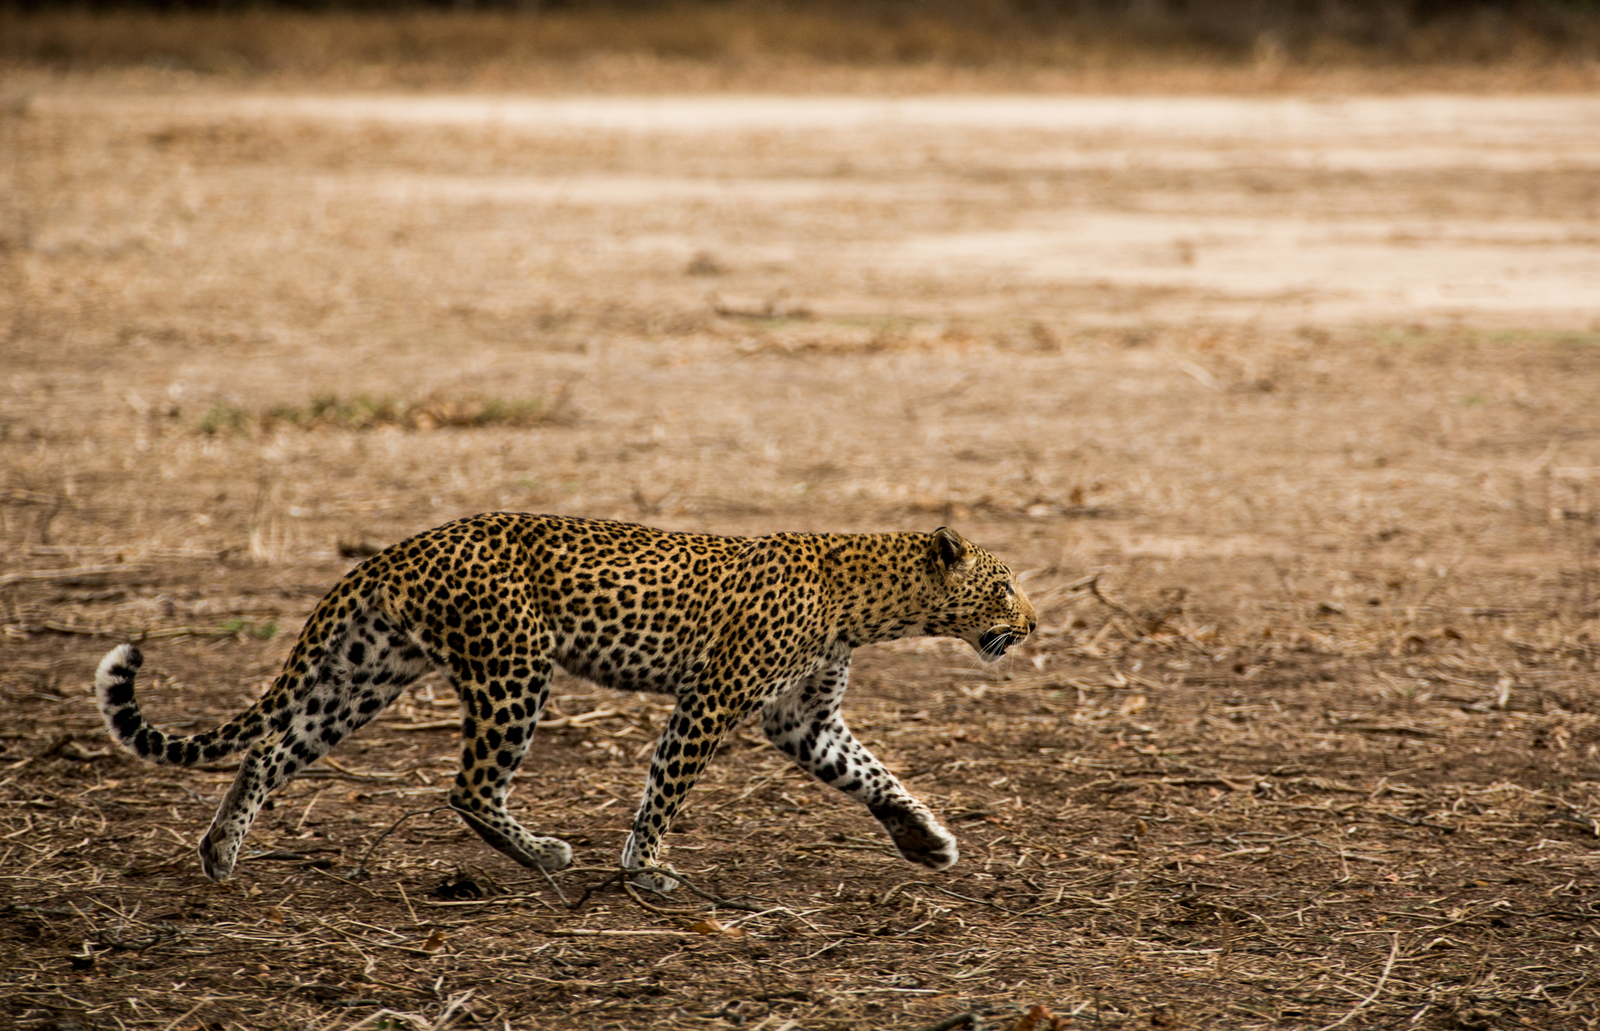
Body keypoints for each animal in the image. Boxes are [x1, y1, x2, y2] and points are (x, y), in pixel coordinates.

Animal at [94, 512, 1037, 888]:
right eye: (1004, 584)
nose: (1034, 622)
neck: (870, 601)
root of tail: (398, 548)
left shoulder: (802, 717)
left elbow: (872, 772)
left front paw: (924, 839)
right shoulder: (713, 698)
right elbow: (665, 787)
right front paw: (646, 868)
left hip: (367, 674)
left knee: (270, 747)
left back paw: (219, 851)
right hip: (514, 666)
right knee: (470, 786)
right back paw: (545, 853)